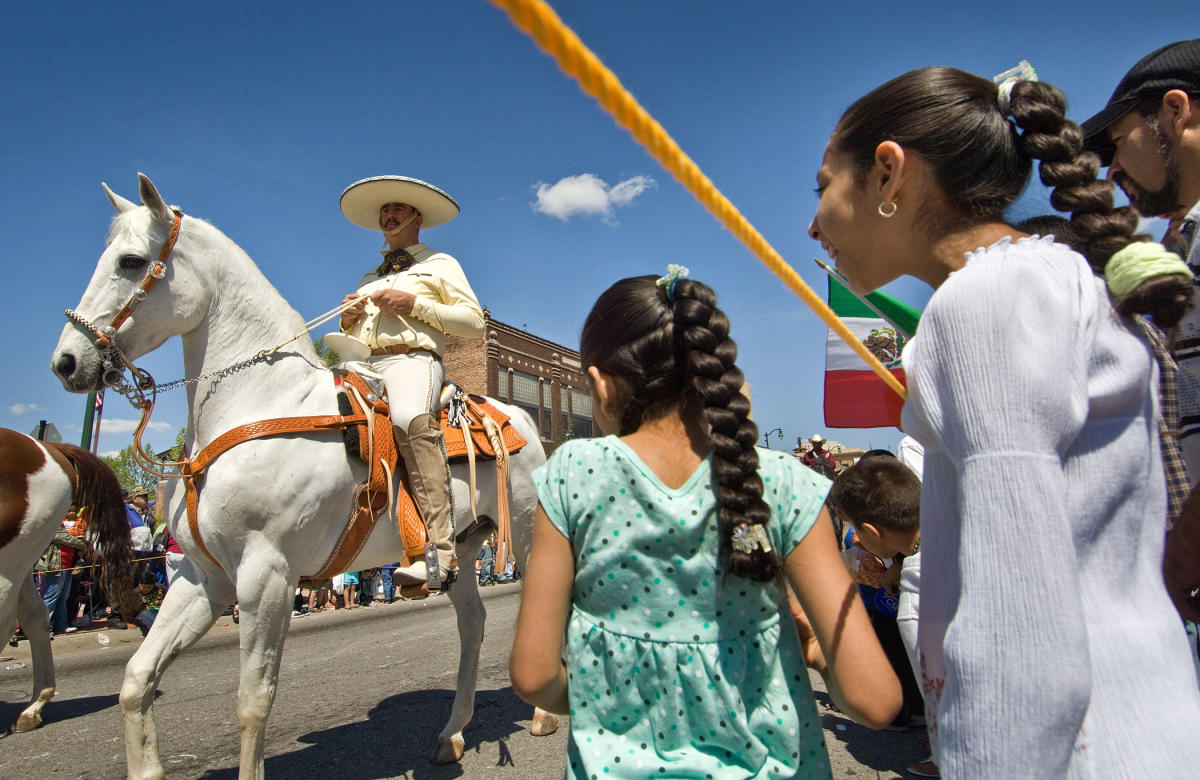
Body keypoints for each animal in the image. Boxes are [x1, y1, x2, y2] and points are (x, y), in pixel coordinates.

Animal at [51, 176, 556, 777]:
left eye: (130, 262)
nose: (66, 362)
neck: (259, 402)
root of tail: (518, 418)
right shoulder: (204, 577)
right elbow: (136, 678)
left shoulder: (266, 573)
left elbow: (253, 701)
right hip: (460, 550)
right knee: (472, 624)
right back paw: (451, 734)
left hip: (524, 537)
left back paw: (543, 716)